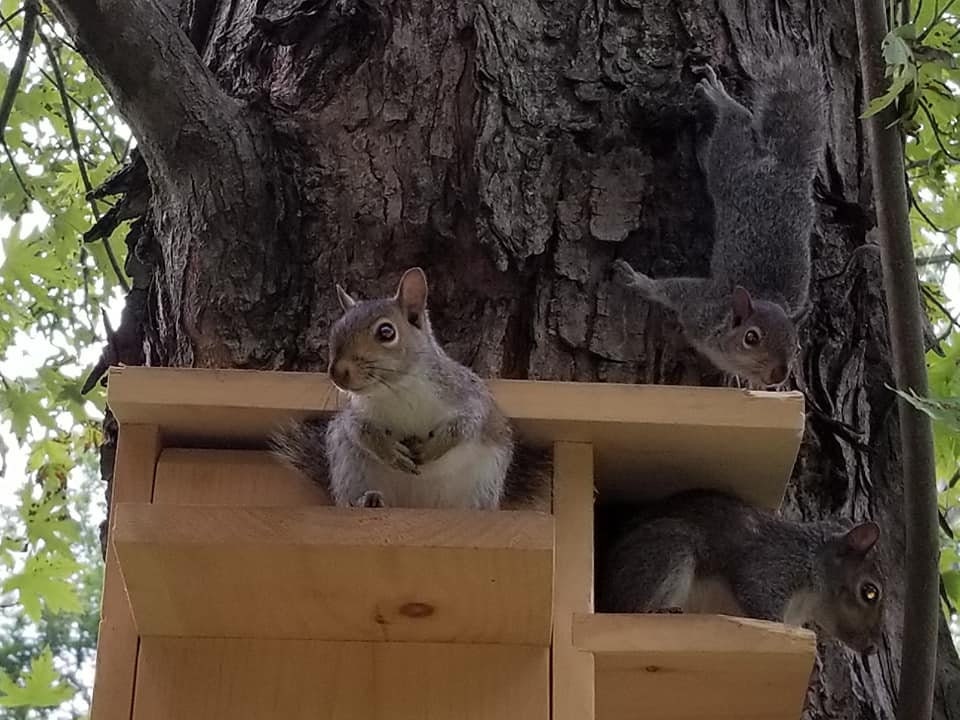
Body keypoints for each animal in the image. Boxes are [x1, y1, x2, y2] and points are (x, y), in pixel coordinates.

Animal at [270, 267, 516, 510]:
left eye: (386, 332)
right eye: (335, 330)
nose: (337, 373)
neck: (397, 390)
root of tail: (416, 505)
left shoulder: (467, 394)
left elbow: (467, 424)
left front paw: (433, 447)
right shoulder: (356, 412)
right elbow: (359, 430)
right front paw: (389, 451)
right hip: (349, 467)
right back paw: (367, 500)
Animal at [597, 489, 884, 653]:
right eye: (869, 592)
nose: (871, 648)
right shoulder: (771, 565)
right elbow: (756, 595)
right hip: (668, 550)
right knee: (633, 605)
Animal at [613, 59, 826, 388]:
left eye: (796, 345)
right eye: (751, 338)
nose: (779, 375)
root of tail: (786, 168)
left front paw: (739, 381)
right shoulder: (701, 306)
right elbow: (672, 289)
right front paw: (637, 280)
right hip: (731, 168)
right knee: (736, 123)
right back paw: (719, 97)